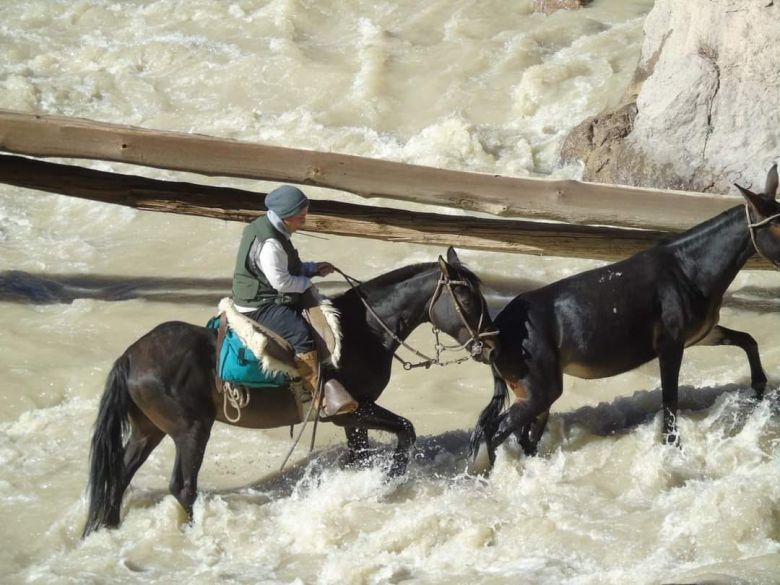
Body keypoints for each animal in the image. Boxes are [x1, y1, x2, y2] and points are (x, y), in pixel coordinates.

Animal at [82, 246, 496, 532]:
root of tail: (131, 356)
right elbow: (406, 431)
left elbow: (360, 455)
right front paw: (388, 480)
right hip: (190, 431)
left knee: (119, 475)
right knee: (182, 487)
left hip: (148, 429)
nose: (491, 345)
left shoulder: (353, 417)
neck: (361, 331)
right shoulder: (356, 409)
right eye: (466, 297)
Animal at [470, 165, 780, 474]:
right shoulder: (671, 345)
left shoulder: (701, 335)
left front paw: (759, 388)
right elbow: (670, 401)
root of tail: (494, 332)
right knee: (495, 434)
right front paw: (672, 449)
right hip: (539, 392)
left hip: (535, 394)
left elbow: (747, 341)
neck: (689, 269)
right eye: (777, 226)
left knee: (521, 437)